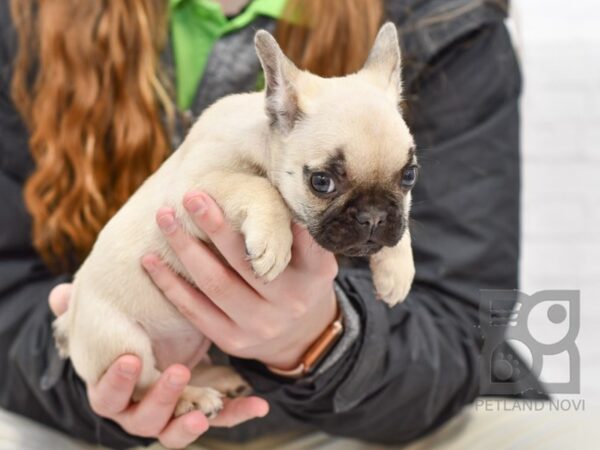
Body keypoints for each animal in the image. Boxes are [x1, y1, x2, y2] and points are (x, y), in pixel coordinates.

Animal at [52, 23, 418, 418]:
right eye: (322, 182)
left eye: (409, 176)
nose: (373, 216)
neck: (262, 139)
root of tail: (68, 325)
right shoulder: (191, 189)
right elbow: (259, 186)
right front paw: (274, 243)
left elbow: (404, 225)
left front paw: (398, 268)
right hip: (122, 344)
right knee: (148, 385)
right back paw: (190, 398)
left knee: (177, 369)